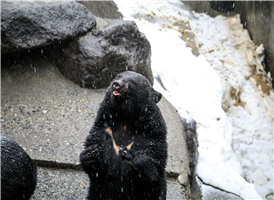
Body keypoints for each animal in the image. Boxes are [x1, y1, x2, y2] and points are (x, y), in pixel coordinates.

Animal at [79, 71, 167, 200]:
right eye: (119, 76)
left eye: (134, 83)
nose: (116, 84)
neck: (126, 117)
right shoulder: (103, 129)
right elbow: (97, 169)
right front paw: (90, 153)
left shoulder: (151, 135)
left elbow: (154, 169)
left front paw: (129, 155)